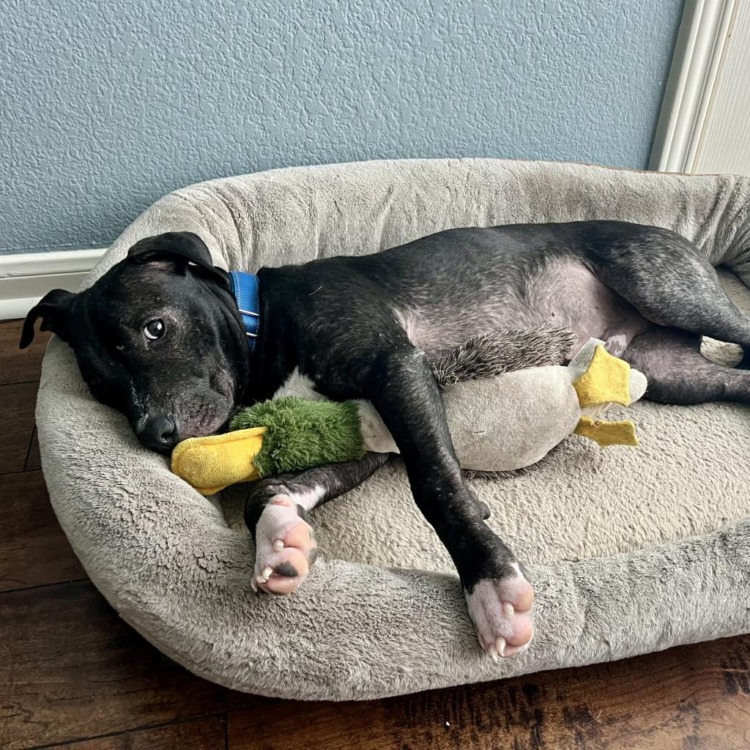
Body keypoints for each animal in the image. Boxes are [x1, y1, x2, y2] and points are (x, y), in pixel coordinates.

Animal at [20, 225, 750, 664]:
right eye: (101, 386)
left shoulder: (397, 371)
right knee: (736, 379)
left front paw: (489, 587)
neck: (261, 324)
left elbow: (436, 486)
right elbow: (269, 490)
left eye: (155, 327)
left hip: (662, 286)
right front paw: (279, 538)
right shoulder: (371, 435)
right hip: (675, 372)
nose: (155, 436)